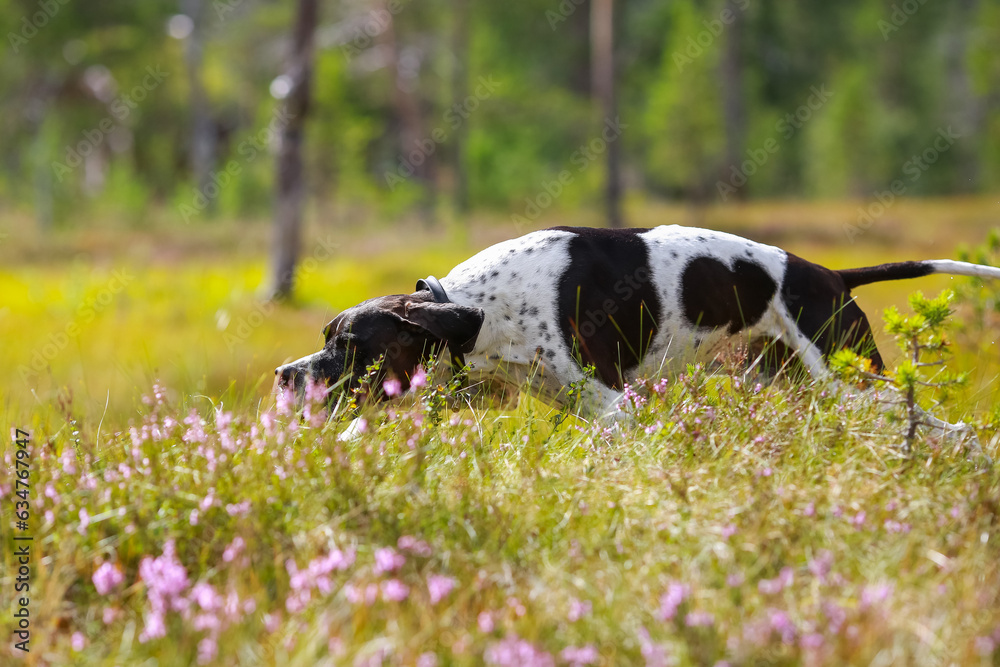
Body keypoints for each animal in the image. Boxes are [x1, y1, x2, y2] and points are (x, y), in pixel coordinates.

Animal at [276, 224, 1000, 430]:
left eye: (350, 346)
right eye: (324, 338)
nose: (285, 375)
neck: (484, 308)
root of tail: (830, 276)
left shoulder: (614, 408)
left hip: (849, 381)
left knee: (945, 426)